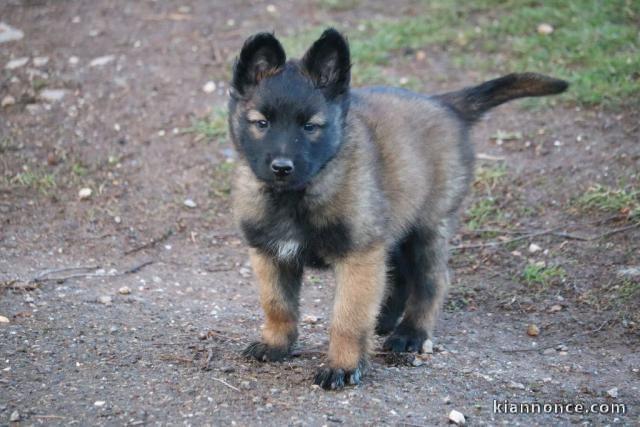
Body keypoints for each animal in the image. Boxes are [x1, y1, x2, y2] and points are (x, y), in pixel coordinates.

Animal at [228, 27, 568, 392]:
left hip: (428, 228)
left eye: (310, 127)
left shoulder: (359, 255)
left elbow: (347, 318)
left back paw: (412, 333)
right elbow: (277, 305)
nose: (281, 167)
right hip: (396, 229)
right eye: (261, 123)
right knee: (400, 277)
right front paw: (277, 345)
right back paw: (385, 320)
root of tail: (443, 104)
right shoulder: (270, 253)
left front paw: (343, 366)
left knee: (433, 281)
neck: (296, 196)